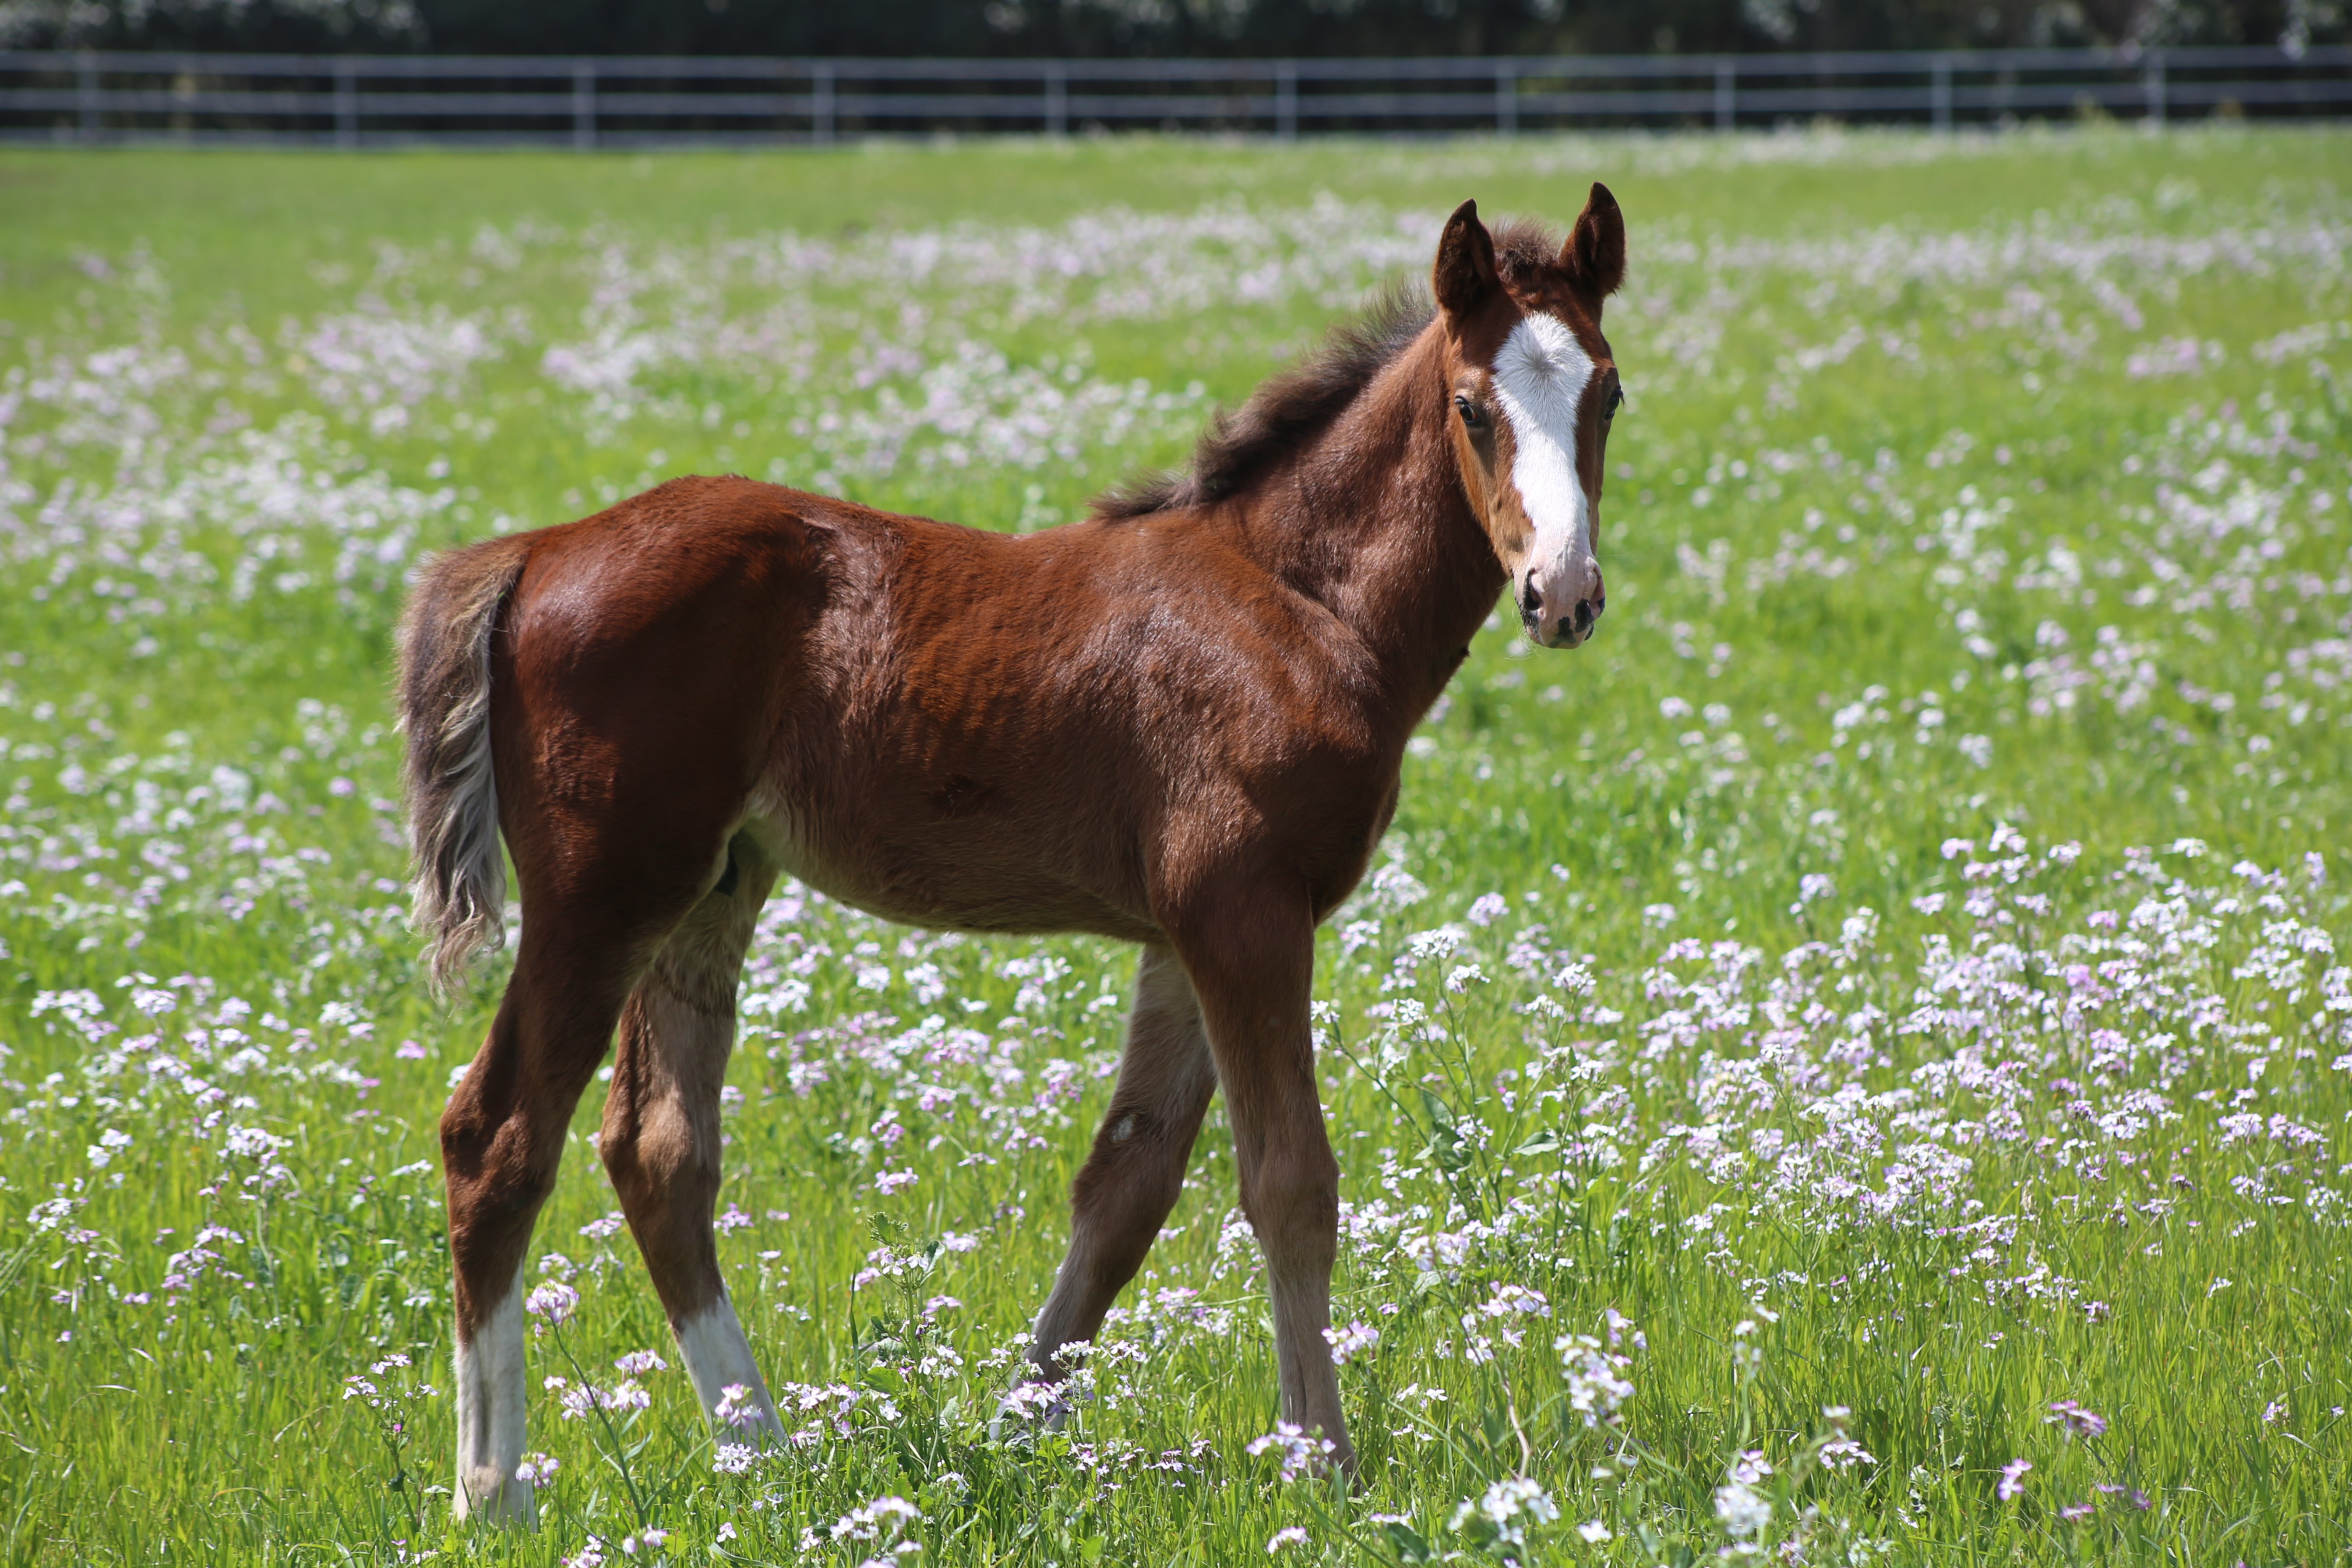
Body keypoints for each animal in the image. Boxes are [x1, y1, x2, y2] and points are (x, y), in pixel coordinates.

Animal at [400, 184, 1618, 1523]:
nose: (1561, 591)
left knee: (657, 1149)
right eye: (1472, 404)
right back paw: (495, 1489)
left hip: (712, 887)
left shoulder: (1187, 929)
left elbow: (1129, 1184)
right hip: (603, 892)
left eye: (1607, 394)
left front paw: (1011, 1432)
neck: (1299, 600)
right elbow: (1288, 1180)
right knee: (497, 1136)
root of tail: (533, 549)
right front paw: (1324, 1463)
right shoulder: (1246, 909)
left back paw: (767, 1455)